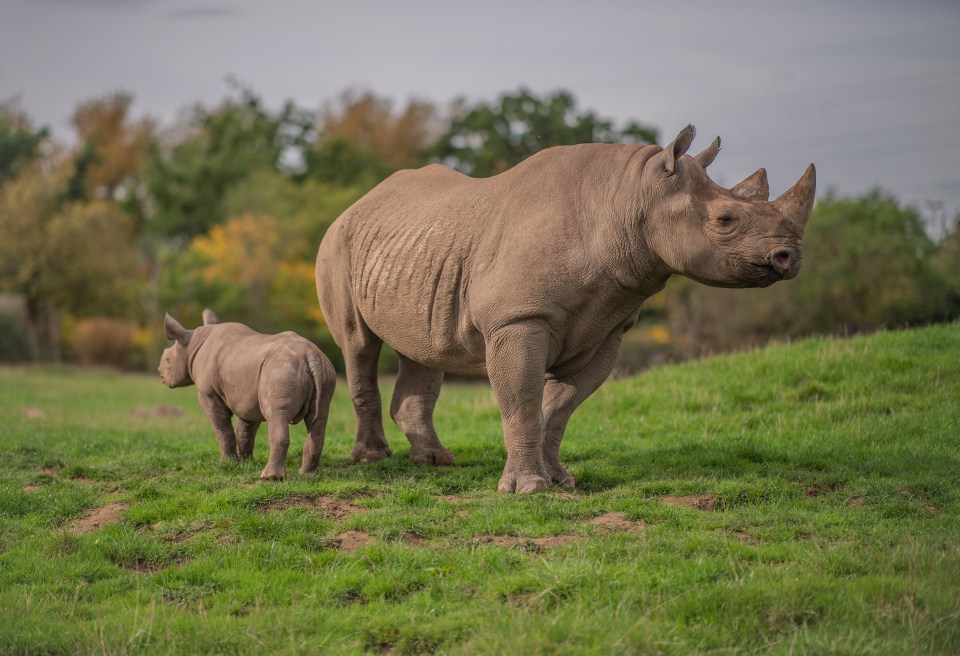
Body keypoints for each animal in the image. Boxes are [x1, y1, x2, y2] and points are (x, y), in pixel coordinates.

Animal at [158, 310, 338, 480]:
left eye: (167, 360)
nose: (159, 373)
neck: (192, 344)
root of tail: (311, 356)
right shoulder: (247, 397)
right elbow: (246, 429)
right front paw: (245, 463)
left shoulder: (208, 392)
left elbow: (222, 427)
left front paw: (226, 463)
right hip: (326, 373)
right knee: (318, 418)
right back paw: (306, 475)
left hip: (281, 370)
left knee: (276, 414)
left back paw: (270, 478)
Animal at [318, 125, 812, 492]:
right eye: (726, 221)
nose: (790, 257)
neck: (628, 198)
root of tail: (357, 202)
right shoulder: (518, 318)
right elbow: (522, 402)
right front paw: (527, 489)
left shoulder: (607, 326)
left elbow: (557, 409)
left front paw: (561, 481)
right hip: (338, 242)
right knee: (358, 343)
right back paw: (373, 460)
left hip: (417, 251)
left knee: (421, 348)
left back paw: (436, 461)